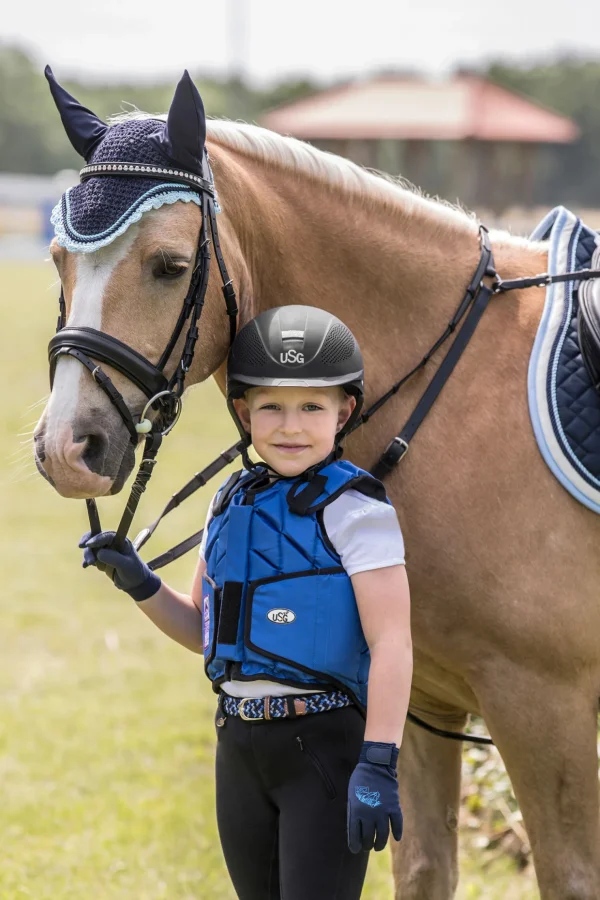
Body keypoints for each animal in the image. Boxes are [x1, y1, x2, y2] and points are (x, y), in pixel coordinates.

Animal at [35, 110, 600, 892]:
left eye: (169, 266)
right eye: (58, 259)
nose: (67, 448)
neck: (459, 396)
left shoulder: (545, 707)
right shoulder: (422, 701)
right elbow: (422, 869)